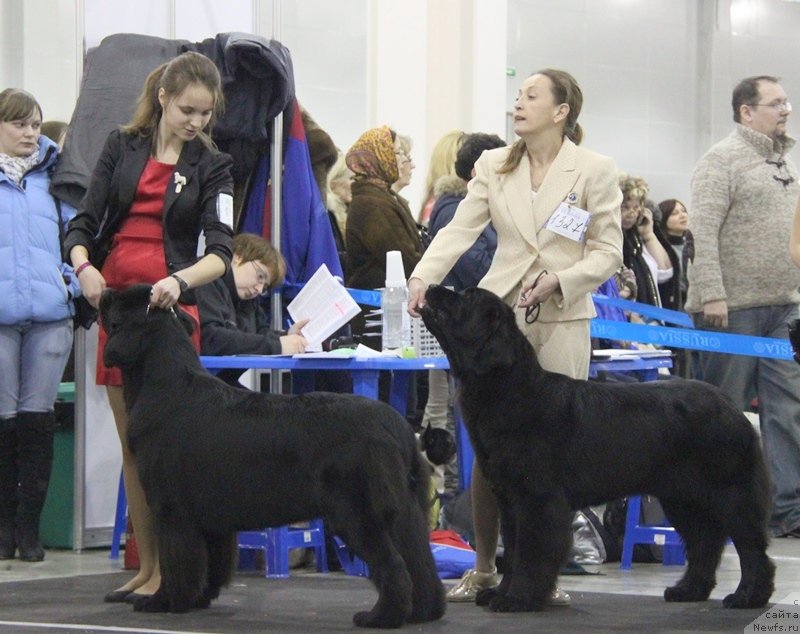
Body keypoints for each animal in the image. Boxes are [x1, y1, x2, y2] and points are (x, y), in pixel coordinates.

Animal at [98, 284, 444, 624]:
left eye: (119, 303)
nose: (103, 291)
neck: (165, 386)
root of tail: (398, 427)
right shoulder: (210, 519)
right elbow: (212, 565)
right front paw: (198, 599)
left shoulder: (171, 509)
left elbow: (176, 563)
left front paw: (163, 601)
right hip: (405, 511)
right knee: (419, 561)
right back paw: (422, 612)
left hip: (358, 513)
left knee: (394, 564)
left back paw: (380, 616)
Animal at [418, 284, 776, 608]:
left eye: (467, 297)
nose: (432, 285)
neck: (510, 391)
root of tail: (732, 407)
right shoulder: (509, 499)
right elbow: (516, 549)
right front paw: (501, 593)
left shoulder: (537, 500)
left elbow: (531, 552)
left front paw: (517, 598)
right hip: (682, 498)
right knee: (705, 542)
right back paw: (689, 591)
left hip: (730, 494)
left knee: (751, 548)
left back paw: (747, 597)